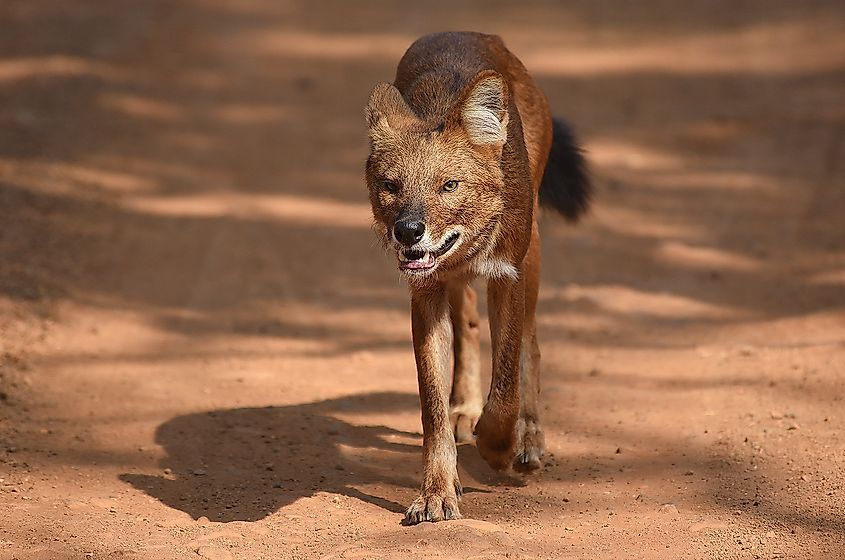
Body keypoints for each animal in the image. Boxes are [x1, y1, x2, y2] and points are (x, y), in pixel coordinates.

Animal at [366, 31, 592, 524]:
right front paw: (436, 492)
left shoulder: (507, 275)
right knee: (468, 327)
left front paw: (499, 447)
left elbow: (505, 383)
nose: (407, 231)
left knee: (530, 343)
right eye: (391, 186)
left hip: (532, 249)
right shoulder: (425, 292)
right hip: (452, 281)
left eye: (449, 185)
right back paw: (465, 408)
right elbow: (431, 407)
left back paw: (529, 439)